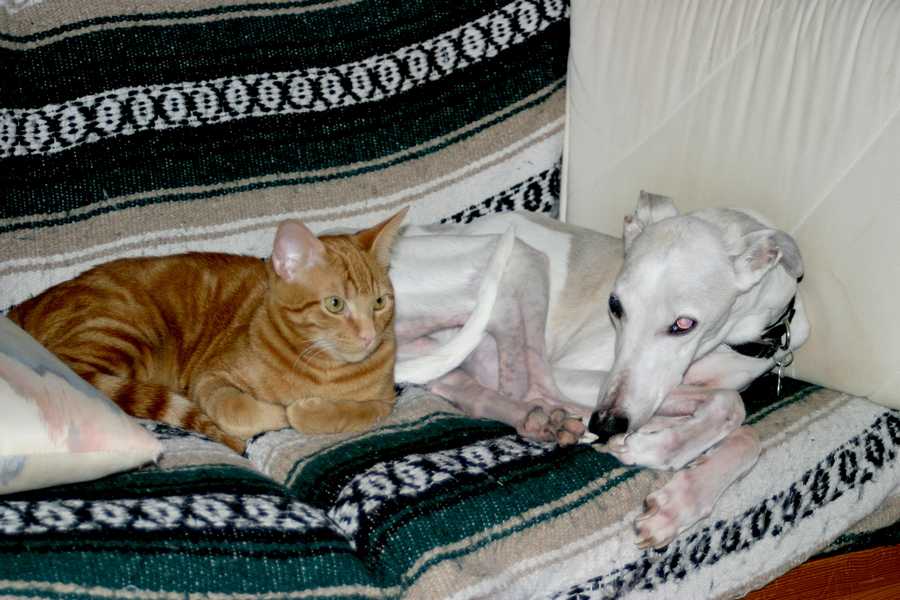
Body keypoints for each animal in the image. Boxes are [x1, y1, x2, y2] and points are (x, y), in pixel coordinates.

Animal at [8, 209, 407, 453]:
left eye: (379, 302)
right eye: (335, 304)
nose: (368, 335)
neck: (323, 368)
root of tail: (24, 307)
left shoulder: (386, 400)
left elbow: (350, 412)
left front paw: (309, 410)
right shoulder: (211, 377)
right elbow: (237, 408)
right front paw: (281, 412)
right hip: (121, 331)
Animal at [390, 191, 809, 548]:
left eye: (684, 324)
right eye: (615, 305)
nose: (606, 423)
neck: (733, 341)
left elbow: (744, 429)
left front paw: (678, 502)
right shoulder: (575, 374)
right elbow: (731, 404)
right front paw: (653, 446)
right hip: (519, 262)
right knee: (529, 387)